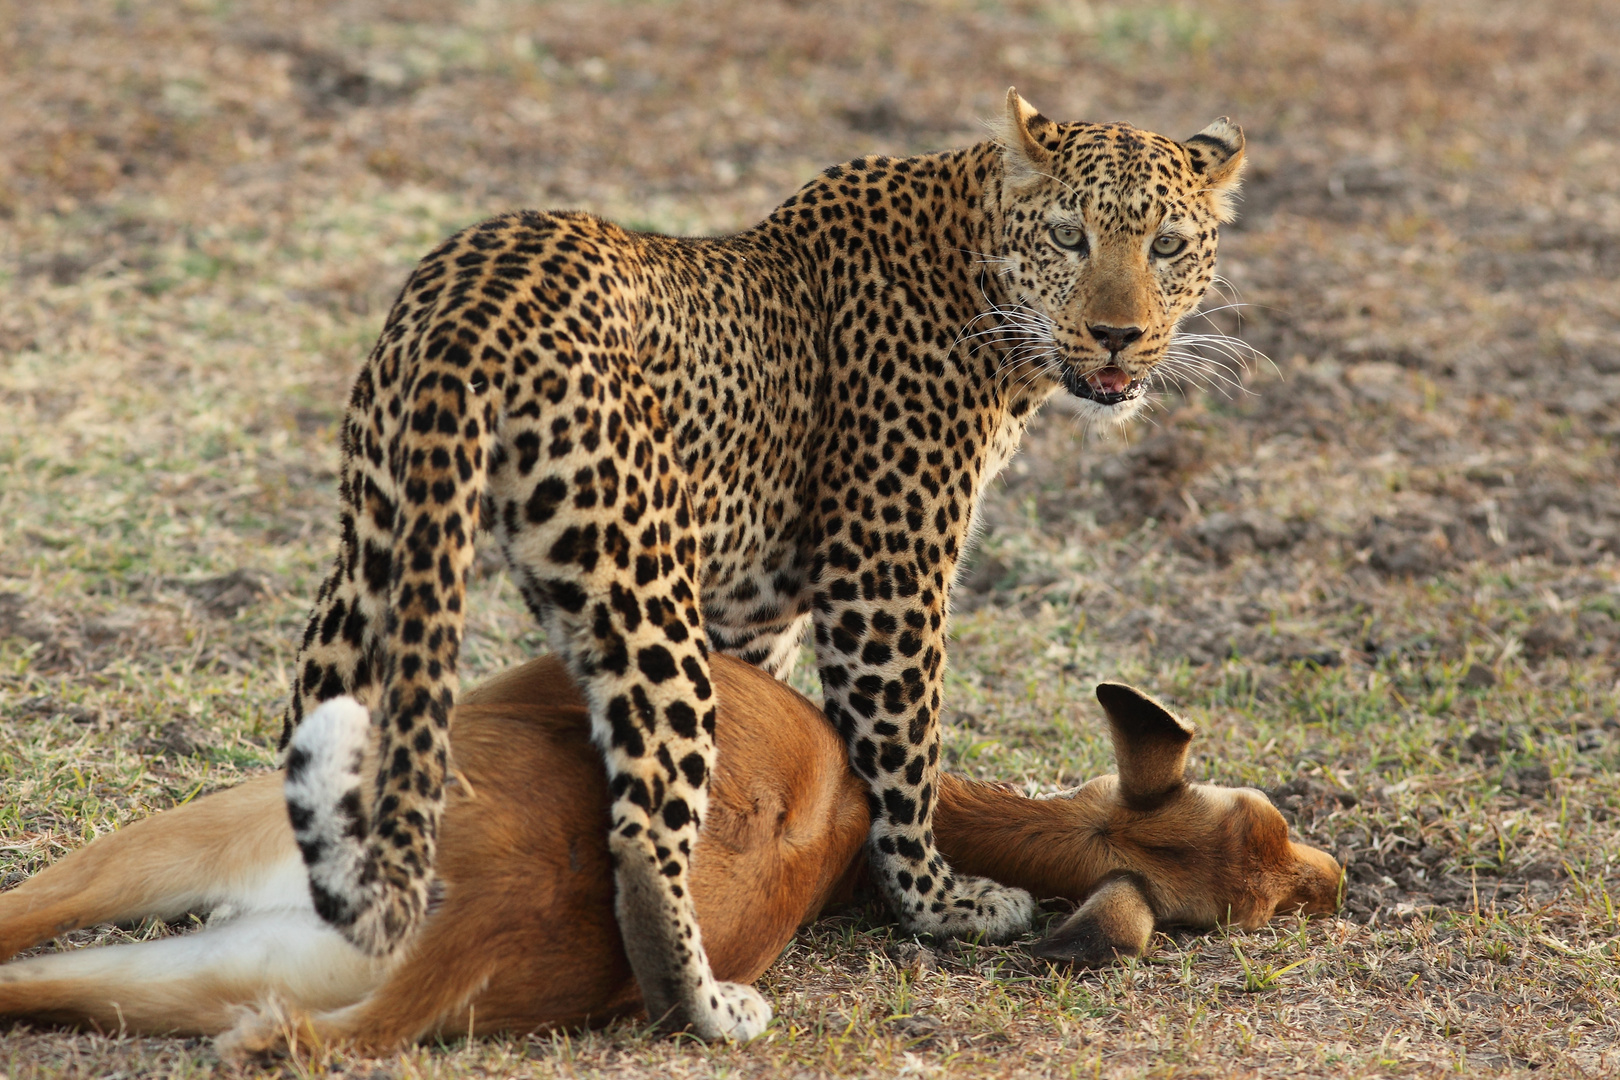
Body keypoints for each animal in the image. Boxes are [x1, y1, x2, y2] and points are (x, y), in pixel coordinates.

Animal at [278, 90, 1244, 1036]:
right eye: (1069, 236)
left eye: (1165, 245)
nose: (1116, 335)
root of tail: (475, 293)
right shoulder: (884, 577)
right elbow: (905, 751)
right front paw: (940, 903)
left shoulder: (758, 611)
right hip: (639, 578)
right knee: (645, 819)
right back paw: (708, 1003)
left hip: (378, 549)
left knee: (313, 729)